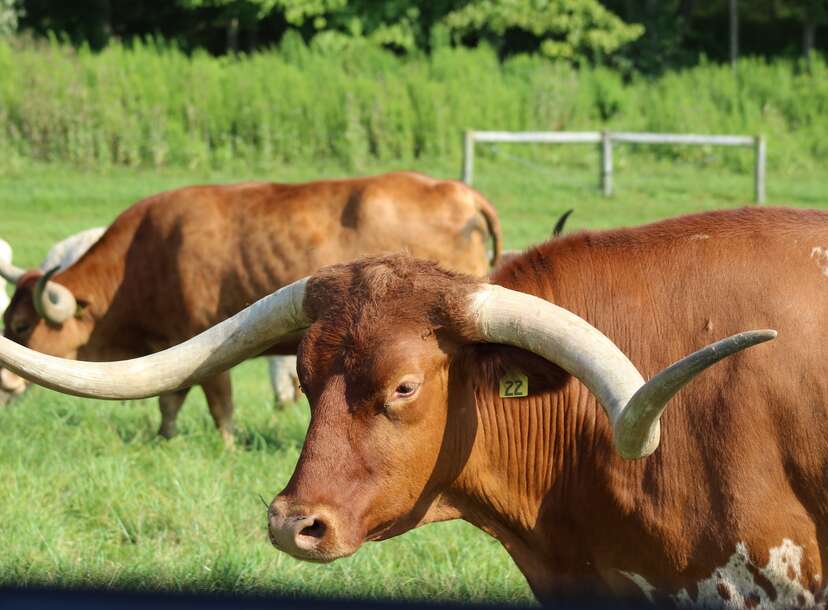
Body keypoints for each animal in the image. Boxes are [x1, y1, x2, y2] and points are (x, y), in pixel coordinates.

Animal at [0, 170, 502, 442]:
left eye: (21, 325)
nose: (5, 383)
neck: (144, 254)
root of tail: (455, 189)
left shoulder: (203, 341)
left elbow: (218, 403)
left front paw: (226, 444)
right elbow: (169, 400)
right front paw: (165, 438)